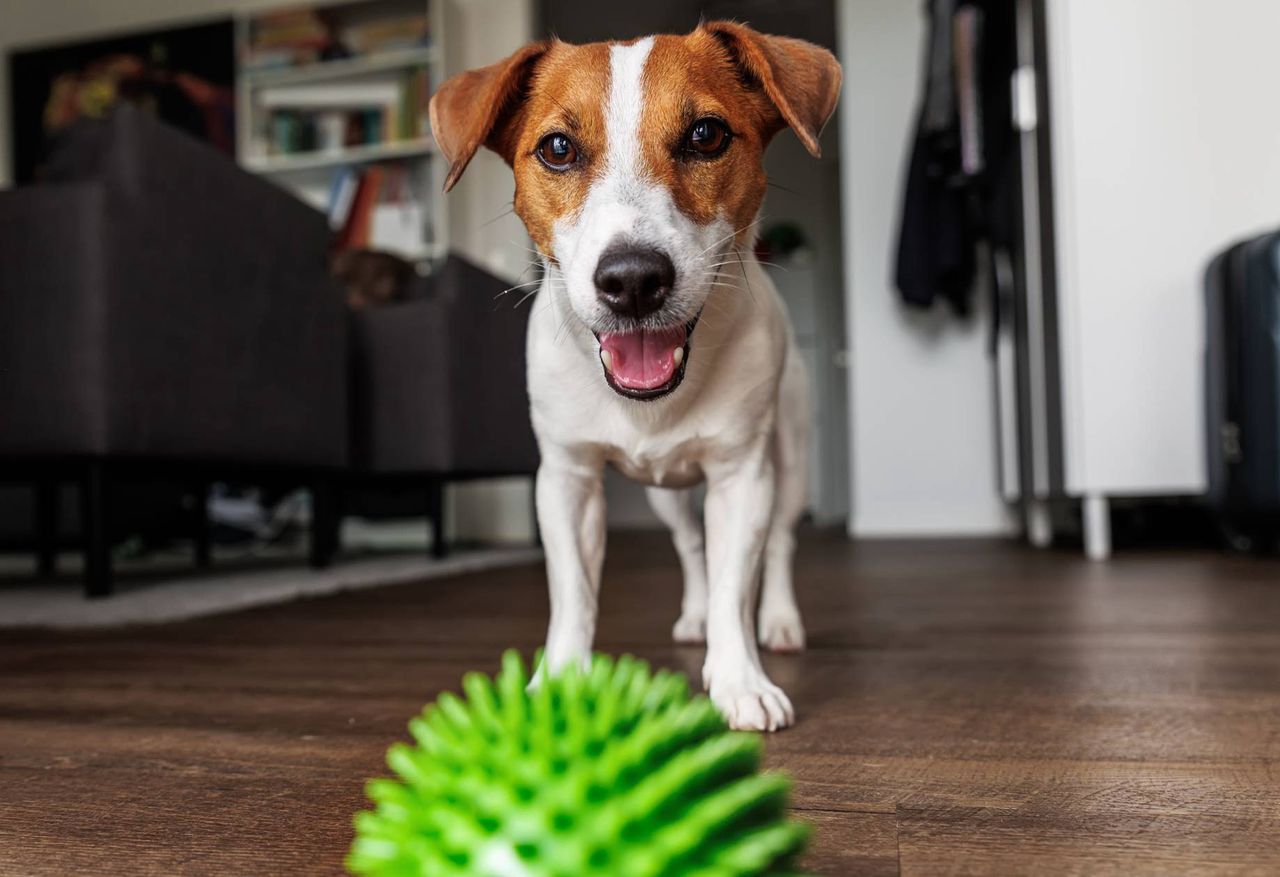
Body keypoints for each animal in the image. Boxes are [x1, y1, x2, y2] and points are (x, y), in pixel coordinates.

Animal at [432, 22, 839, 732]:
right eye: (557, 149)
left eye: (706, 134)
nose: (632, 279)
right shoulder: (566, 480)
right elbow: (575, 593)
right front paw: (557, 681)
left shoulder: (742, 477)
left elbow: (739, 581)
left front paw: (741, 679)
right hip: (665, 495)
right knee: (691, 547)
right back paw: (698, 614)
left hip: (788, 460)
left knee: (780, 544)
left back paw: (778, 622)